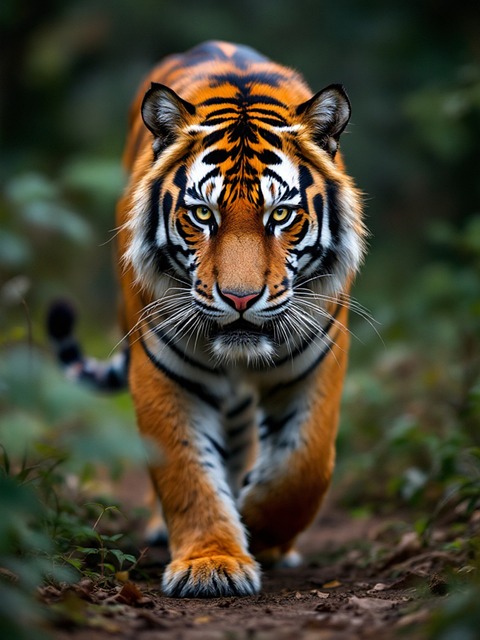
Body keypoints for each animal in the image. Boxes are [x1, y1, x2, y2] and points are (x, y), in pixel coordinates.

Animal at [48, 40, 366, 598]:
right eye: (202, 215)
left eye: (280, 215)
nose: (240, 299)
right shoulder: (163, 370)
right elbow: (185, 472)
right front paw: (213, 562)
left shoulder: (318, 361)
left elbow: (303, 468)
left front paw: (257, 527)